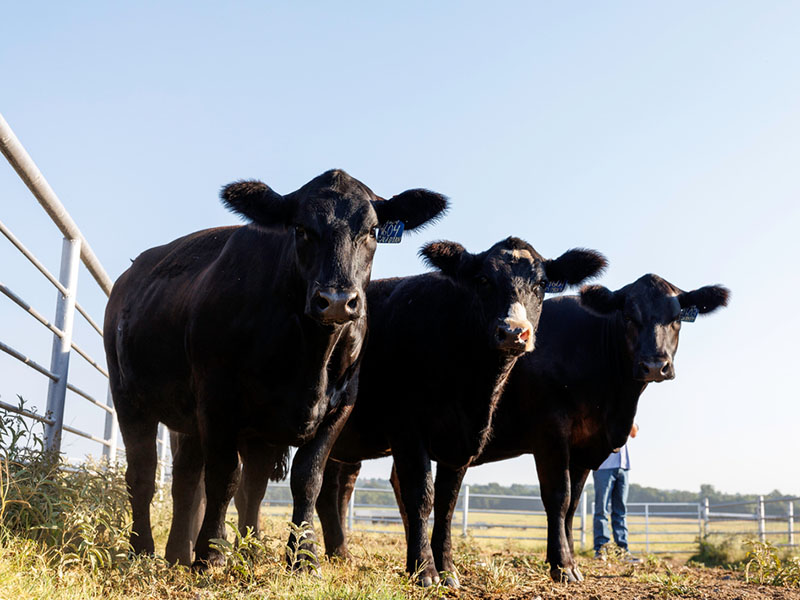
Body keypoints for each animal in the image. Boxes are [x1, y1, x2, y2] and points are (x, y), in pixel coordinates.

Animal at [103, 169, 448, 570]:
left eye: (372, 231)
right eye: (300, 228)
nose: (336, 300)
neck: (310, 355)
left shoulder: (340, 404)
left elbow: (307, 479)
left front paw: (304, 555)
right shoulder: (217, 398)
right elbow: (224, 476)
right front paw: (211, 552)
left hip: (201, 422)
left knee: (196, 481)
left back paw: (185, 554)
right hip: (129, 397)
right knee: (142, 473)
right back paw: (142, 548)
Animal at [270, 237, 607, 586]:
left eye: (541, 284)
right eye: (483, 280)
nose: (514, 331)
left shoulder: (461, 442)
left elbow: (447, 503)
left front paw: (447, 568)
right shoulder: (407, 429)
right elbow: (420, 494)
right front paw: (424, 569)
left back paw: (341, 554)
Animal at [327, 273, 727, 585]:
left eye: (676, 319)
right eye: (629, 315)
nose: (655, 365)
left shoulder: (584, 446)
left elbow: (573, 504)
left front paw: (566, 559)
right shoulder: (552, 432)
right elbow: (558, 496)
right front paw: (563, 567)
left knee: (344, 487)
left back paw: (342, 556)